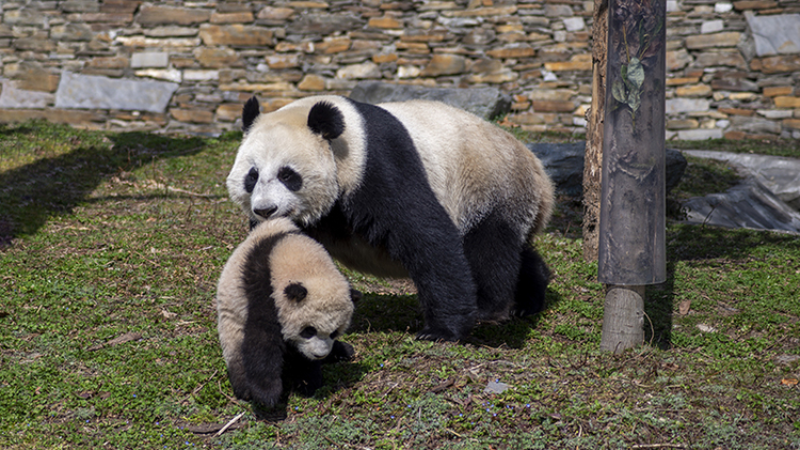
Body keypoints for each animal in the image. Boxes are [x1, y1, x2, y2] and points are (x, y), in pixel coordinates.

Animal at [217, 218, 358, 408]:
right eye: (309, 330)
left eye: (334, 332)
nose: (319, 354)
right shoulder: (263, 289)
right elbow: (262, 338)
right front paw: (267, 394)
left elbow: (300, 352)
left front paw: (308, 381)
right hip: (232, 327)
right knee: (238, 354)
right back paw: (245, 388)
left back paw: (343, 350)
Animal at [227, 94, 556, 342]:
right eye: (252, 176)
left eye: (287, 175)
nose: (265, 210)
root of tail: (542, 177)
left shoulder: (376, 164)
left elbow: (426, 236)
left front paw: (442, 330)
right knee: (516, 249)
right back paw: (529, 297)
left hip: (490, 186)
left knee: (490, 246)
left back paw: (492, 307)